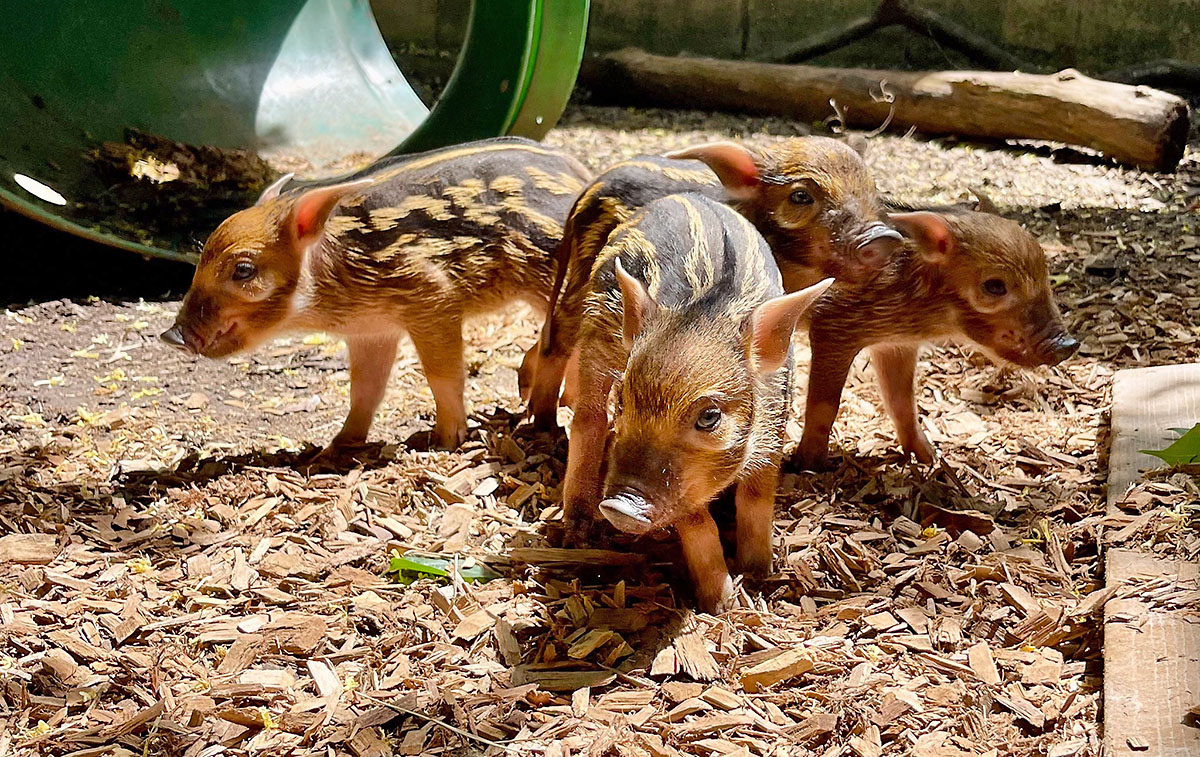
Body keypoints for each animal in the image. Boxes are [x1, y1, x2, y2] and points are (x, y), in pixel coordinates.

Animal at [161, 137, 592, 452]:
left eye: (243, 270)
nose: (171, 336)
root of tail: (579, 171)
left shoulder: (433, 297)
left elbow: (443, 374)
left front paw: (443, 441)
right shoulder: (372, 331)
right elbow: (365, 390)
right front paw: (333, 449)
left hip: (547, 277)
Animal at [520, 137, 900, 430]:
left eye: (871, 189)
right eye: (801, 196)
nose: (884, 236)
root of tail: (590, 188)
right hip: (583, 279)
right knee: (559, 338)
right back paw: (546, 425)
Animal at [560, 192, 832, 613]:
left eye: (710, 417)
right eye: (622, 403)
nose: (619, 506)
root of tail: (685, 196)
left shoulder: (774, 429)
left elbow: (757, 498)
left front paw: (759, 573)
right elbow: (696, 522)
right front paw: (722, 606)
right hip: (593, 336)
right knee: (586, 419)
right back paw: (575, 531)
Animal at [797, 204, 1079, 469]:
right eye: (995, 286)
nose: (1068, 345)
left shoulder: (895, 344)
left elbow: (902, 402)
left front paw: (930, 458)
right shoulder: (832, 328)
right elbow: (825, 406)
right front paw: (809, 465)